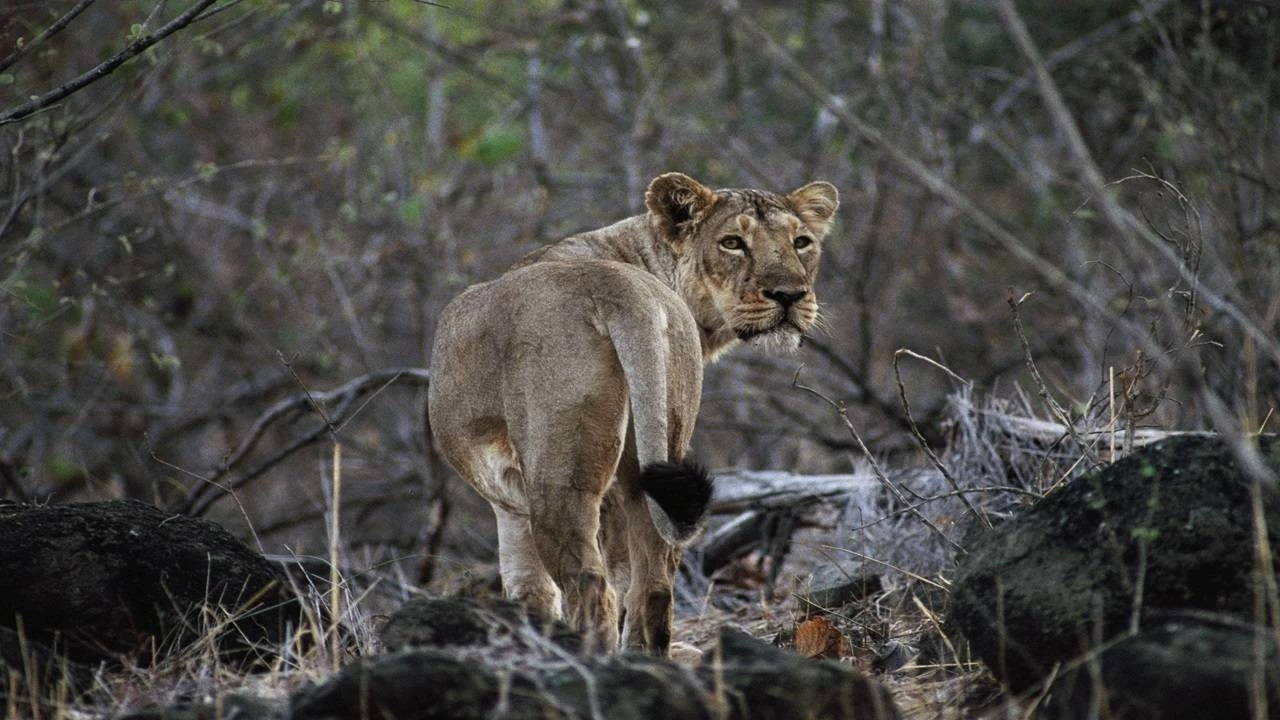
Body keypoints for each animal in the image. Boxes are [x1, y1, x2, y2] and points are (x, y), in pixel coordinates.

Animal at [427, 172, 839, 655]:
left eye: (801, 242)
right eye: (733, 243)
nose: (789, 295)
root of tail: (618, 287)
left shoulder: (512, 503)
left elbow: (531, 592)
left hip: (558, 474)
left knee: (591, 586)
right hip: (656, 453)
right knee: (654, 583)